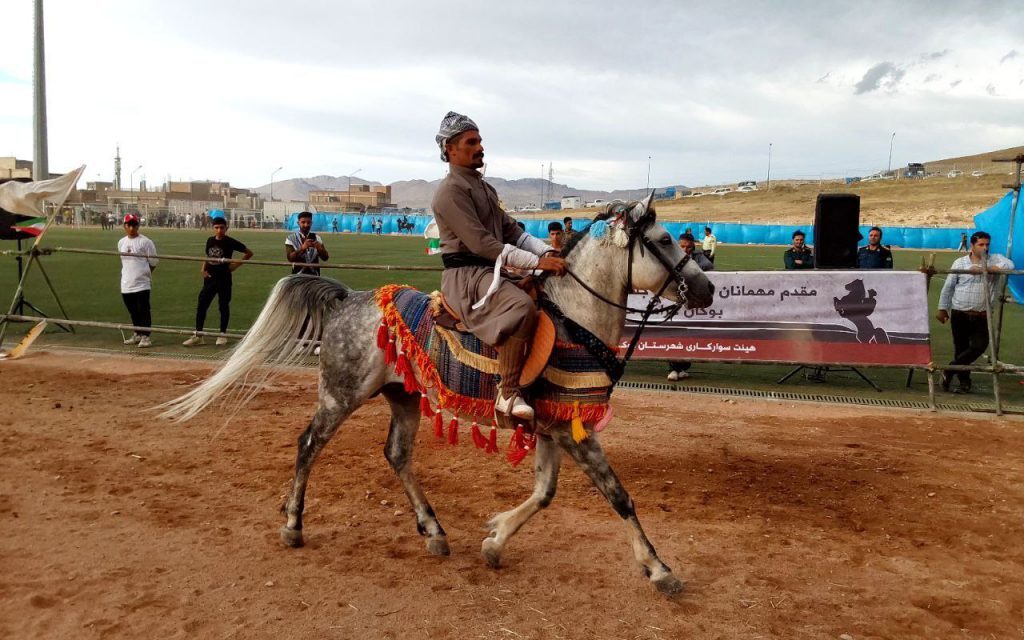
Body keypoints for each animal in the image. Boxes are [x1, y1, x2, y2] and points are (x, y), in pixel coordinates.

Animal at [163, 197, 716, 598]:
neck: (575, 320)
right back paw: (294, 524)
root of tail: (349, 298)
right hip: (341, 395)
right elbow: (618, 496)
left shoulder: (552, 425)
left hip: (402, 396)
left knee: (396, 454)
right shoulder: (572, 432)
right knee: (308, 445)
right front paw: (658, 568)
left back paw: (433, 530)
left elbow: (544, 493)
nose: (707, 289)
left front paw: (494, 539)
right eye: (664, 240)